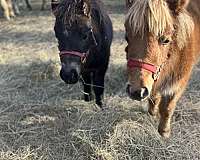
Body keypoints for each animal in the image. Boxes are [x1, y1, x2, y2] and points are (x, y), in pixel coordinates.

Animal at [125, 0, 200, 138]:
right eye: (127, 37)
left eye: (166, 40)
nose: (137, 92)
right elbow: (154, 96)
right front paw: (152, 112)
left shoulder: (178, 83)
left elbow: (168, 108)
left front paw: (164, 131)